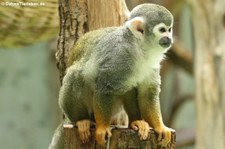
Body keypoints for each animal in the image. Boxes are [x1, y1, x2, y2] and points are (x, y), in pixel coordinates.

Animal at [49, 2, 174, 148]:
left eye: (170, 29)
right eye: (162, 30)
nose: (169, 38)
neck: (139, 48)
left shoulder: (152, 63)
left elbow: (147, 93)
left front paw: (160, 127)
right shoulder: (118, 57)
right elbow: (105, 87)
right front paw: (103, 128)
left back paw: (135, 121)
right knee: (76, 75)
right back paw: (81, 120)